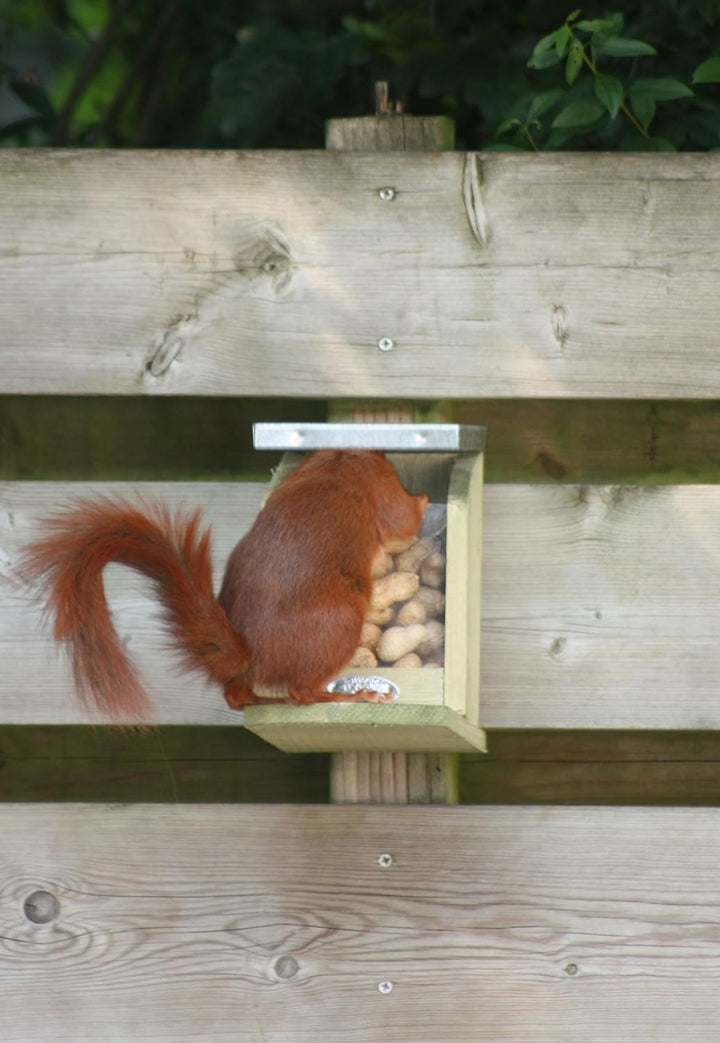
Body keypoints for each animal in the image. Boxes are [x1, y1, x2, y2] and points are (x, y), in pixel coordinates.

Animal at [20, 450, 428, 720]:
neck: (337, 459)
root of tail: (251, 653)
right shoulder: (379, 484)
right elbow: (402, 520)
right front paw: (423, 499)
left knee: (237, 696)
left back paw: (263, 701)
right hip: (341, 620)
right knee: (303, 693)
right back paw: (355, 696)